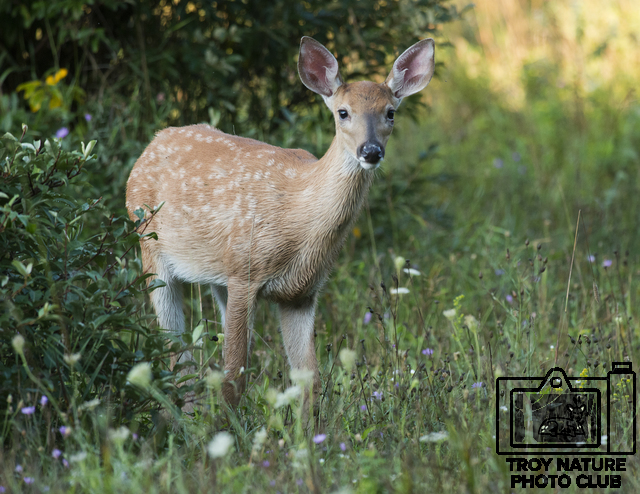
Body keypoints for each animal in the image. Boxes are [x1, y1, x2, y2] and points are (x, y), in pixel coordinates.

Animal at [126, 36, 435, 416]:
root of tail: (151, 144)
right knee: (175, 355)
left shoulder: (301, 293)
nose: (371, 151)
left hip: (217, 277)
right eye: (342, 112)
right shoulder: (245, 273)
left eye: (390, 112)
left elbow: (310, 382)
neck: (300, 222)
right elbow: (234, 378)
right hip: (152, 250)